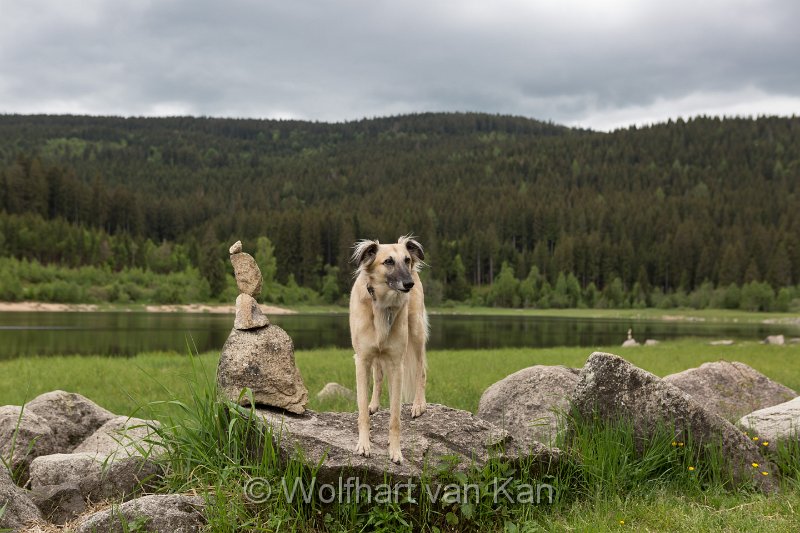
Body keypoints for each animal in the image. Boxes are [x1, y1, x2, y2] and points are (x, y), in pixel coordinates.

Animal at [346, 233, 428, 462]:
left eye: (406, 260)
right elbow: (362, 410)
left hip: (416, 332)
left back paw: (419, 404)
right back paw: (374, 404)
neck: (384, 306)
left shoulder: (396, 363)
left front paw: (396, 451)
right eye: (388, 261)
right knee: (378, 376)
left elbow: (395, 417)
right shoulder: (362, 359)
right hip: (376, 354)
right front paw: (364, 445)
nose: (408, 283)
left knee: (421, 370)